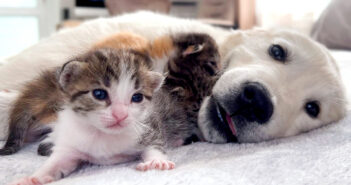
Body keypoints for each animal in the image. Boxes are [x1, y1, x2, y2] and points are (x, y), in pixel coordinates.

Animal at [10, 48, 176, 185]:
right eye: (99, 94)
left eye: (137, 97)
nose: (120, 115)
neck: (102, 134)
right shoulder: (70, 143)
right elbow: (55, 163)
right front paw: (31, 178)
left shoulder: (149, 125)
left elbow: (155, 144)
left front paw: (156, 162)